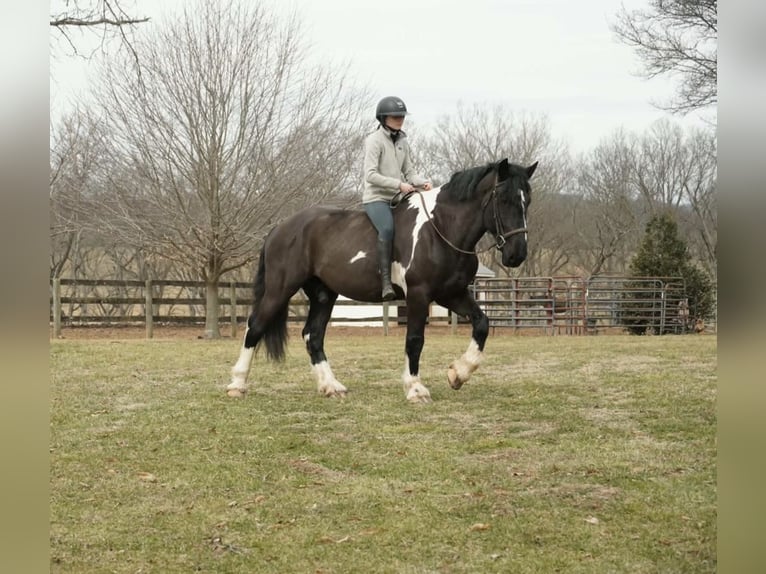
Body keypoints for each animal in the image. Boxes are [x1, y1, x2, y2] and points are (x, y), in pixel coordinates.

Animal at [227, 158, 538, 403]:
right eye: (504, 199)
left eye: (528, 201)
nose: (517, 254)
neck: (440, 228)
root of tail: (281, 227)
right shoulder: (419, 294)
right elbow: (415, 340)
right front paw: (415, 389)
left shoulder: (452, 294)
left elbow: (482, 324)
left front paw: (458, 373)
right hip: (280, 288)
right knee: (255, 326)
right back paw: (237, 384)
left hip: (324, 294)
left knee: (312, 335)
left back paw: (331, 386)